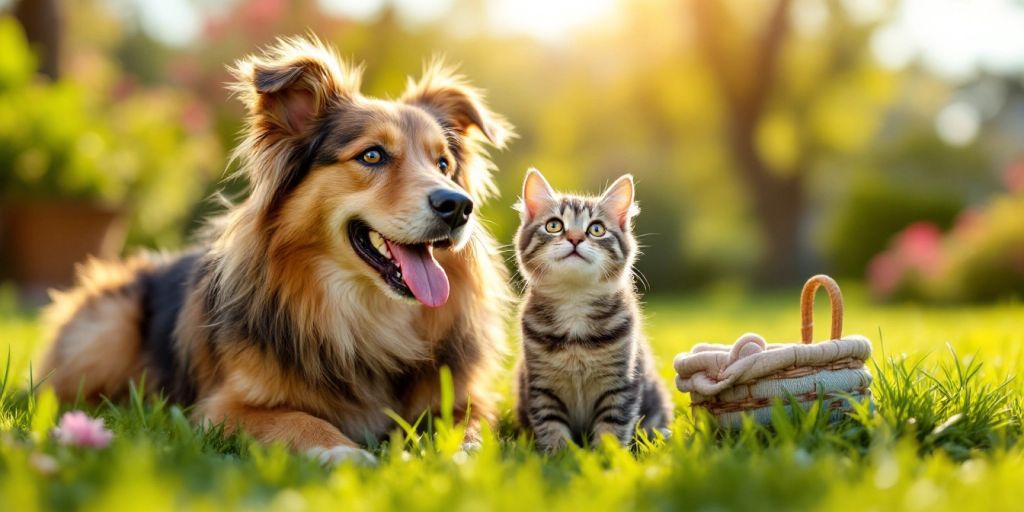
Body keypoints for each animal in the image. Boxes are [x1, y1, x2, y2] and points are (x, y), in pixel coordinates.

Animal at [38, 37, 512, 466]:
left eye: (444, 165)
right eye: (373, 155)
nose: (458, 206)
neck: (366, 315)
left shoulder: (467, 398)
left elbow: (471, 427)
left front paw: (464, 455)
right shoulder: (222, 408)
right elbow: (299, 420)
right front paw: (345, 452)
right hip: (106, 330)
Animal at [512, 168, 671, 452]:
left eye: (596, 229)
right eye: (554, 225)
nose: (575, 238)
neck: (575, 301)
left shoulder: (621, 383)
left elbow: (612, 426)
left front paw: (606, 456)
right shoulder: (541, 385)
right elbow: (550, 425)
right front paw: (559, 455)